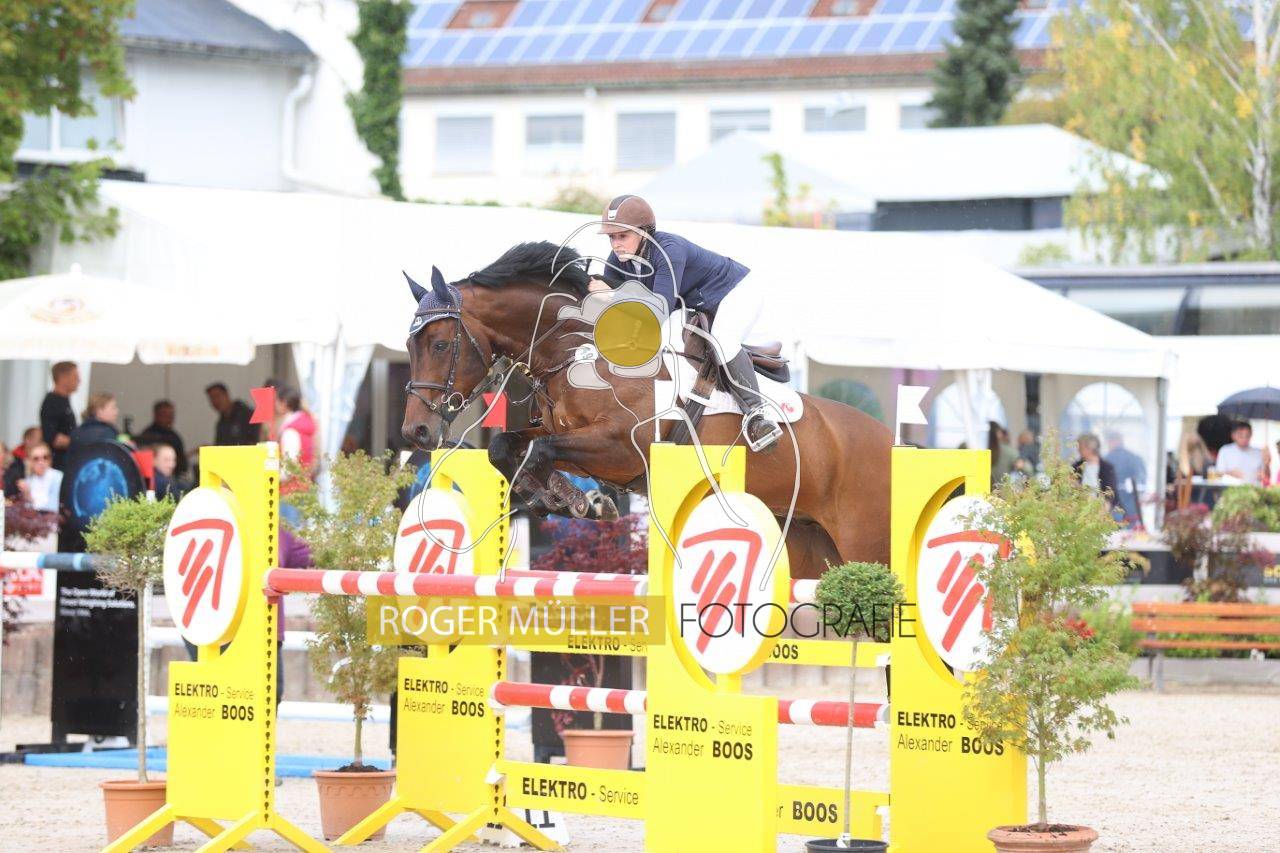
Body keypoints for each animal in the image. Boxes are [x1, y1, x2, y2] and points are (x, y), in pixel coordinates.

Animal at [400, 241, 892, 580]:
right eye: (409, 345)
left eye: (440, 344)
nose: (416, 432)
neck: (575, 351)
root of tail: (894, 441)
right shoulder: (573, 440)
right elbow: (508, 446)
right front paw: (565, 499)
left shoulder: (620, 447)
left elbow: (540, 450)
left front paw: (571, 500)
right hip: (811, 544)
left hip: (865, 542)